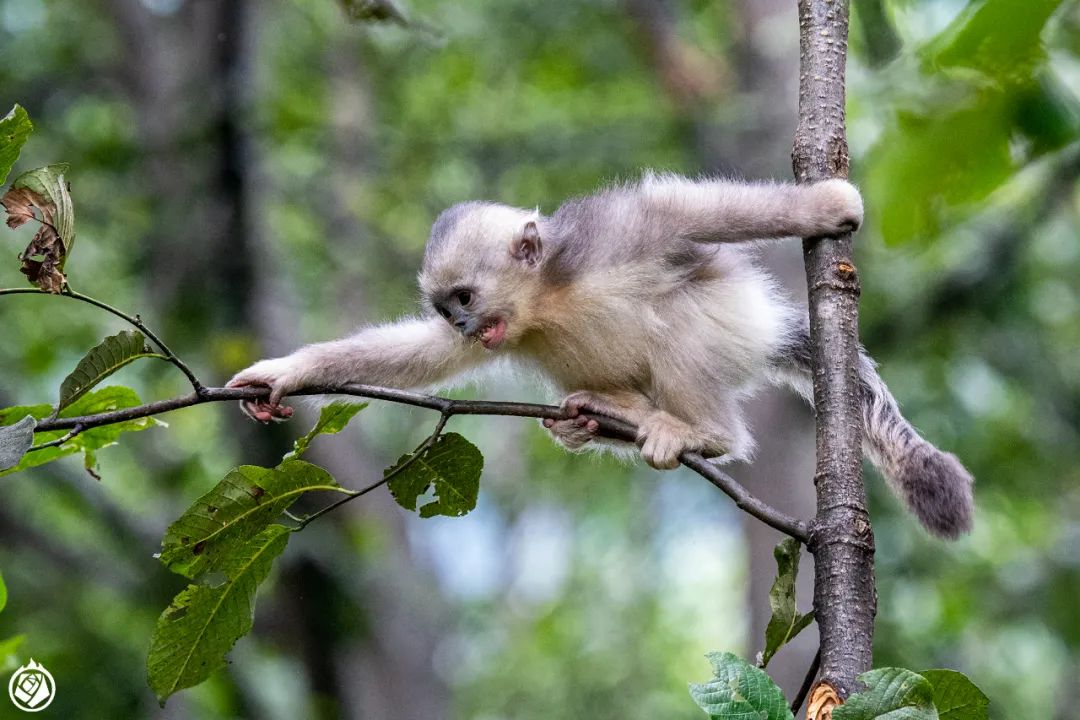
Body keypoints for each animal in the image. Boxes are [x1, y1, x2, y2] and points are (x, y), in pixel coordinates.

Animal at [232, 172, 976, 535]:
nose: (467, 324)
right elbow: (418, 354)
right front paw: (286, 373)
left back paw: (707, 433)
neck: (547, 296)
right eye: (448, 309)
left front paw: (825, 205)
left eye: (465, 296)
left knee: (679, 325)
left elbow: (681, 211)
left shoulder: (616, 234)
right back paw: (598, 415)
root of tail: (768, 320)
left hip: (732, 324)